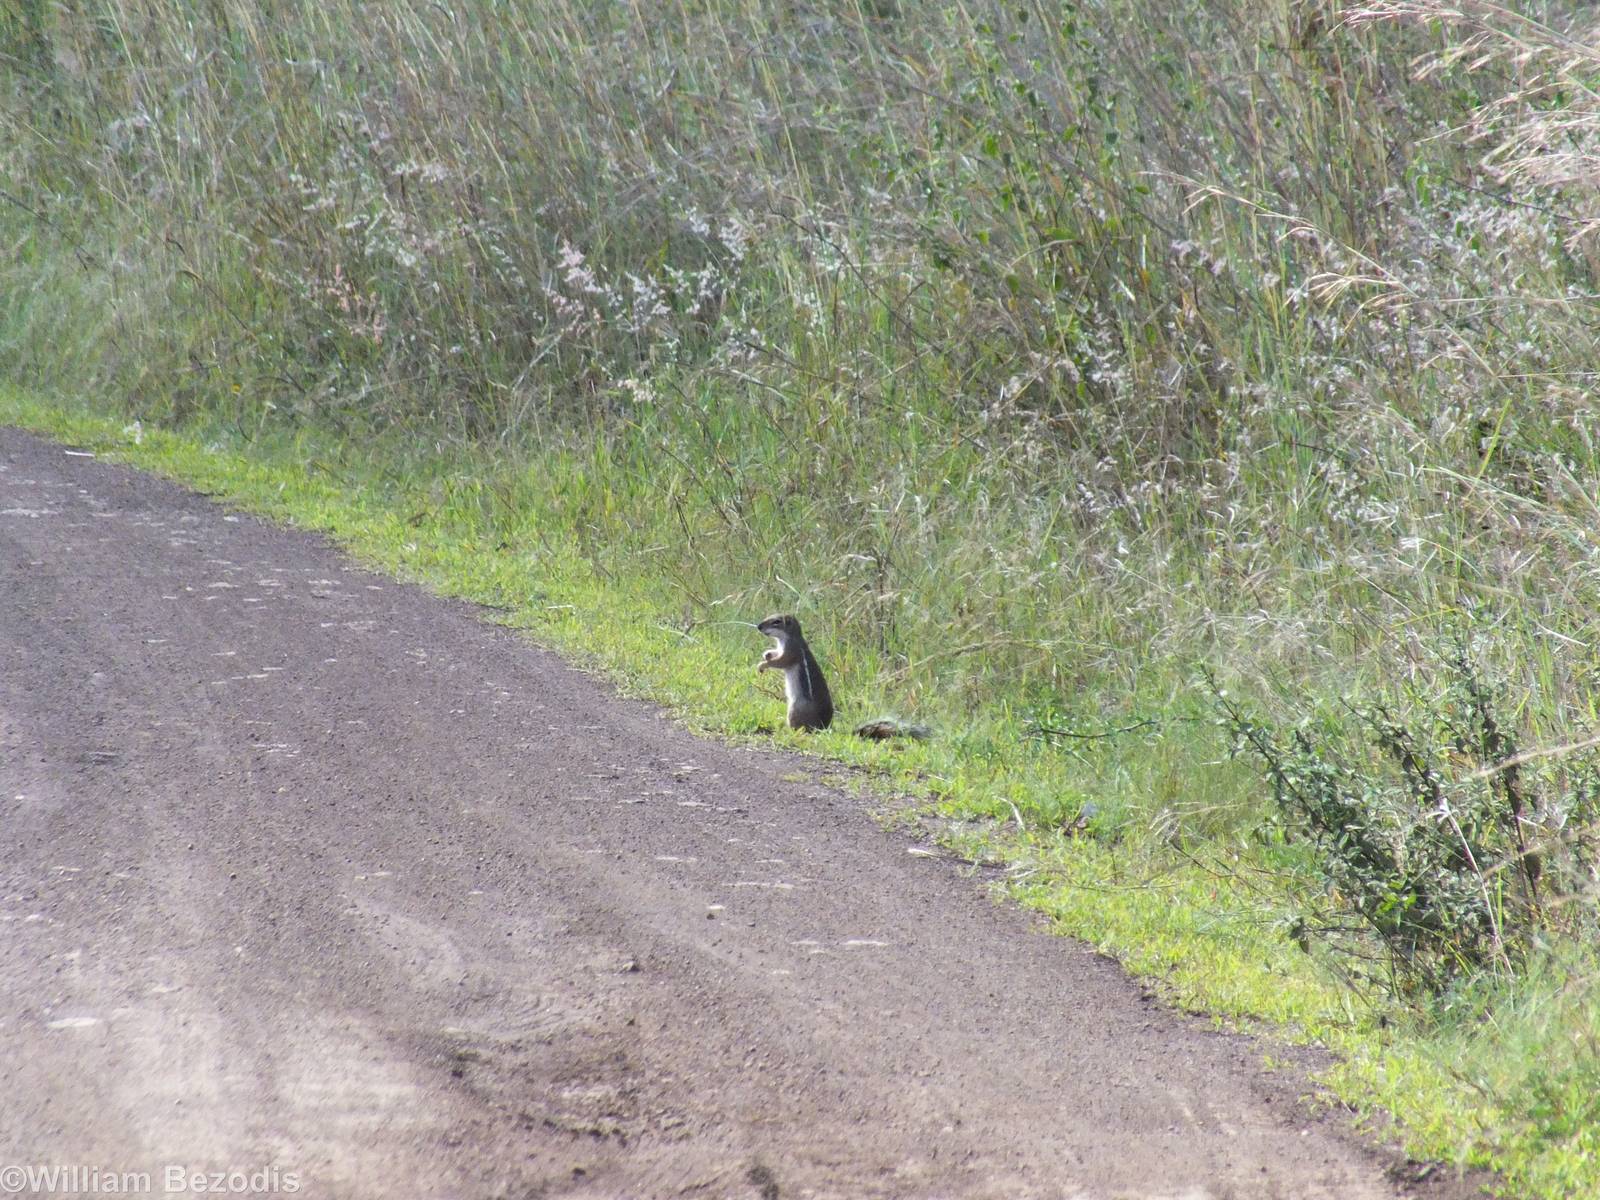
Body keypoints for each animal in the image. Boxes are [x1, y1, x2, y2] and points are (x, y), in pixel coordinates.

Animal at [755, 614, 928, 739]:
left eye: (776, 621)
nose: (758, 626)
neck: (788, 637)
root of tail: (824, 727)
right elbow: (775, 654)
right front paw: (767, 654)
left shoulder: (792, 652)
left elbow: (780, 662)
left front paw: (763, 665)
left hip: (795, 709)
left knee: (802, 729)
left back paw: (787, 730)